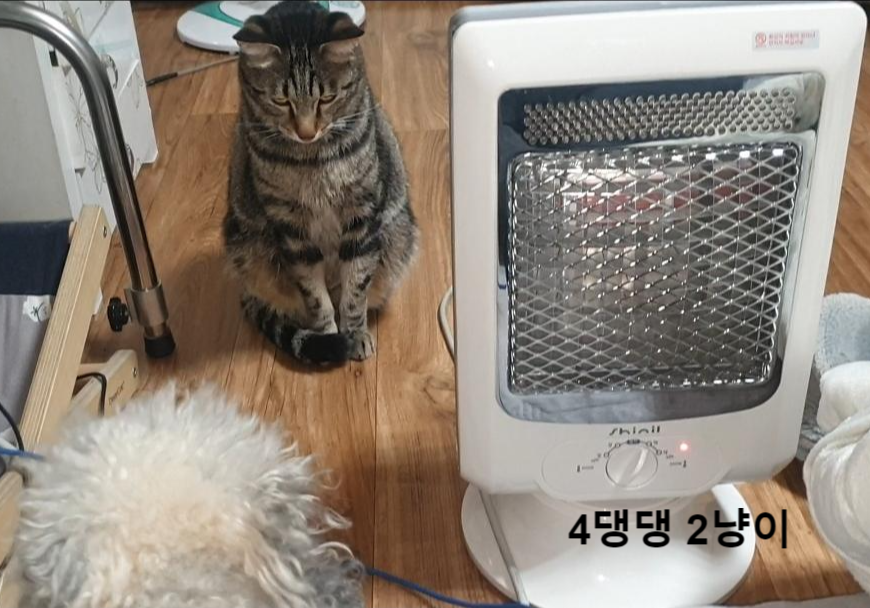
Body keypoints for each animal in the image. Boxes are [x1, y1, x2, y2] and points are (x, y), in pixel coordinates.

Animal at [224, 2, 418, 365]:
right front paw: (329, 336)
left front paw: (354, 334)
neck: (311, 159)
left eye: (326, 99)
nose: (306, 132)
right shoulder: (292, 230)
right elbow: (315, 297)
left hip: (399, 236)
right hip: (246, 249)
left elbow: (355, 291)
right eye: (281, 101)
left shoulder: (361, 216)